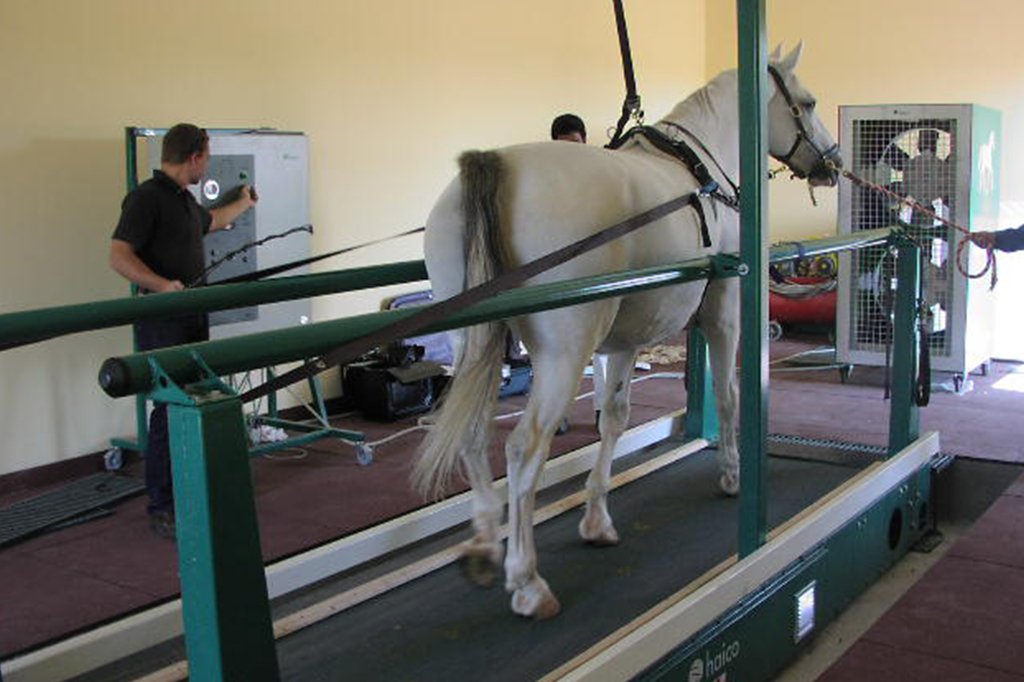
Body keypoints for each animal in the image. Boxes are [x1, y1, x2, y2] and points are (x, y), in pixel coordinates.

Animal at [413, 43, 842, 619]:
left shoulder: (625, 337)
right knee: (522, 450)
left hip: (475, 346)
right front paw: (731, 473)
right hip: (562, 353)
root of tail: (496, 163)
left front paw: (597, 519)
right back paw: (526, 581)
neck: (702, 169)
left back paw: (485, 544)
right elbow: (729, 395)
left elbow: (613, 417)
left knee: (476, 436)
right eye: (808, 101)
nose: (831, 164)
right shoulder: (723, 312)